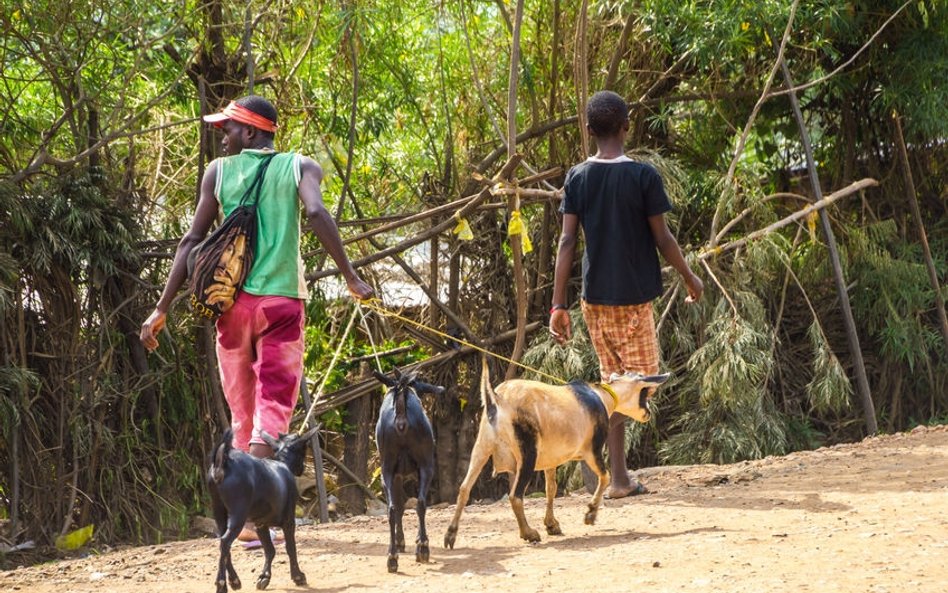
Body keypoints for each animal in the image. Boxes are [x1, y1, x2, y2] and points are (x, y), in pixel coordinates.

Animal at [207, 426, 318, 592]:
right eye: (304, 450)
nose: (303, 469)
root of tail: (223, 461)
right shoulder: (288, 520)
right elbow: (290, 548)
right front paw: (298, 576)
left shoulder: (260, 524)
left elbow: (269, 550)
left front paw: (265, 577)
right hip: (238, 513)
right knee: (225, 541)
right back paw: (221, 583)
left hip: (218, 510)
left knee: (223, 544)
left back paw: (234, 580)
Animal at [372, 368, 442, 572]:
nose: (439, 388)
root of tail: (401, 417)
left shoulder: (395, 474)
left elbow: (400, 506)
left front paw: (402, 542)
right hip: (425, 464)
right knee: (418, 503)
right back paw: (420, 548)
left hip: (388, 468)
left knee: (395, 508)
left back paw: (395, 556)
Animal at [442, 364, 668, 548]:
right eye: (645, 391)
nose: (648, 413)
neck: (601, 396)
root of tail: (496, 400)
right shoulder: (592, 450)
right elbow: (605, 477)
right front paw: (590, 514)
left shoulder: (550, 459)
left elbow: (551, 489)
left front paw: (552, 525)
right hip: (527, 452)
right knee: (515, 495)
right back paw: (529, 533)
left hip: (482, 447)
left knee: (464, 488)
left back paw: (450, 535)